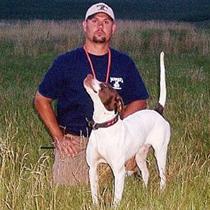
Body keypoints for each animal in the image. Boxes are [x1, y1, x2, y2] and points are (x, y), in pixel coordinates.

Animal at [83, 52, 170, 205]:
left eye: (104, 85)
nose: (89, 75)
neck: (104, 127)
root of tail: (157, 111)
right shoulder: (92, 168)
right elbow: (94, 195)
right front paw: (95, 205)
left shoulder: (119, 172)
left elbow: (116, 198)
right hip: (140, 155)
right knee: (146, 173)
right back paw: (144, 192)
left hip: (160, 153)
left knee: (163, 176)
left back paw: (161, 191)